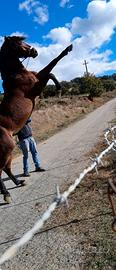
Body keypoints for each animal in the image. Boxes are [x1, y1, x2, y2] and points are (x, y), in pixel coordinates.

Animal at [0, 35, 72, 202]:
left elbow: (51, 68)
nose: (35, 51)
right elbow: (51, 69)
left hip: (8, 149)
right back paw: (6, 195)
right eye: (18, 42)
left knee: (6, 168)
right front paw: (59, 87)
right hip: (7, 148)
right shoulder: (37, 87)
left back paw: (19, 182)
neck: (16, 75)